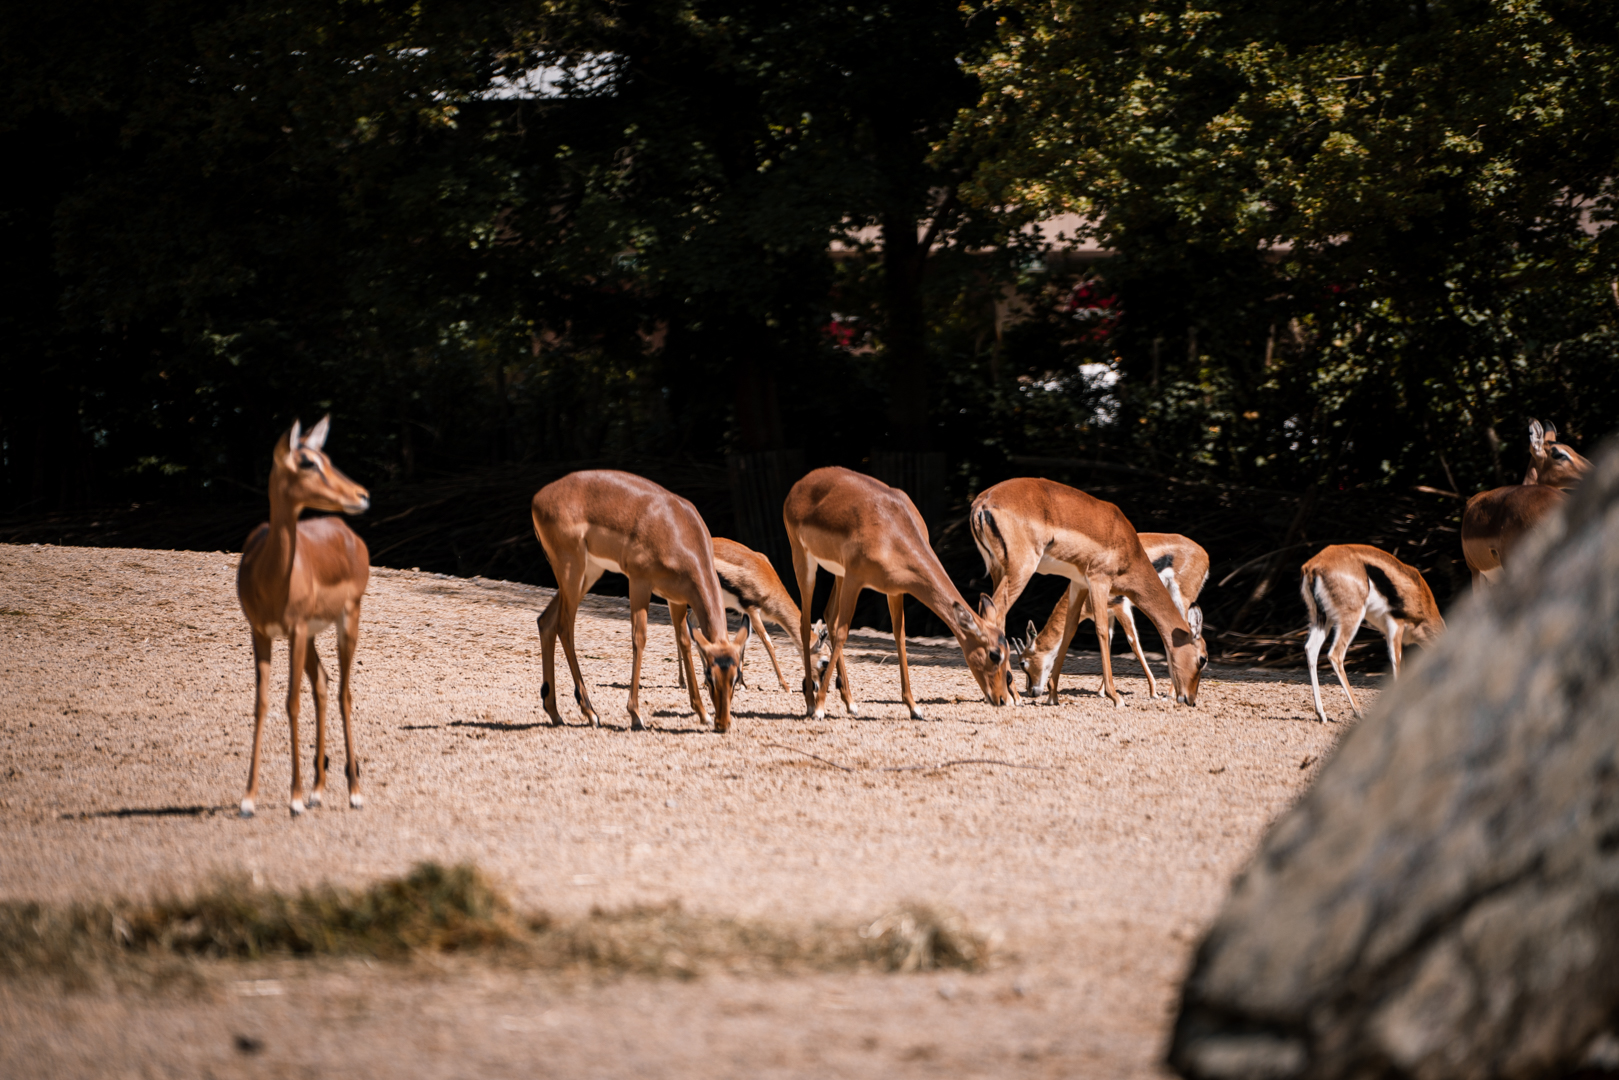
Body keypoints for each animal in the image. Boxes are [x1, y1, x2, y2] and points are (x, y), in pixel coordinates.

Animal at [235, 416, 371, 818]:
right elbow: (262, 703)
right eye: (308, 461)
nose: (361, 495)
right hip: (311, 635)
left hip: (347, 621)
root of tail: (349, 534)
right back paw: (317, 791)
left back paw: (354, 793)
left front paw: (293, 798)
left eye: (326, 457)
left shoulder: (293, 631)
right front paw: (248, 799)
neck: (269, 575)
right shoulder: (260, 633)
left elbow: (291, 703)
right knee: (323, 684)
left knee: (343, 692)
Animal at [531, 470, 749, 732]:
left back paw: (555, 713)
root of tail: (539, 497)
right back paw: (591, 713)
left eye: (736, 677)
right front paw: (635, 715)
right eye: (709, 675)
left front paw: (702, 713)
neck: (679, 531)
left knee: (546, 622)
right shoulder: (639, 582)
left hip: (589, 572)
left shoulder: (676, 599)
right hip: (572, 570)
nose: (722, 724)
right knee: (564, 627)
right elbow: (639, 638)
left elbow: (685, 641)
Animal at [783, 467, 1012, 720]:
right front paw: (820, 708)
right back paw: (811, 704)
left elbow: (900, 637)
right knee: (806, 624)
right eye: (994, 654)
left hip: (838, 573)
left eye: (1008, 652)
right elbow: (844, 633)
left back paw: (850, 702)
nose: (1002, 699)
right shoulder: (856, 579)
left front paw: (914, 707)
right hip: (804, 560)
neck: (892, 531)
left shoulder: (895, 590)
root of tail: (801, 484)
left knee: (829, 617)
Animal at [1011, 533, 1208, 700]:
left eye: (1023, 663)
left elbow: (1134, 643)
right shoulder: (1109, 613)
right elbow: (1108, 642)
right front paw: (1102, 691)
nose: (1032, 692)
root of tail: (1204, 554)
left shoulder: (1121, 607)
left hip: (1180, 600)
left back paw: (1170, 693)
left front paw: (1152, 691)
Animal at [1300, 543, 1445, 722]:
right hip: (1351, 618)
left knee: (1311, 649)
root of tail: (1313, 566)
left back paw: (1321, 714)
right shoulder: (1395, 627)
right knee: (1335, 655)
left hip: (1322, 619)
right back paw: (1359, 713)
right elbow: (1397, 665)